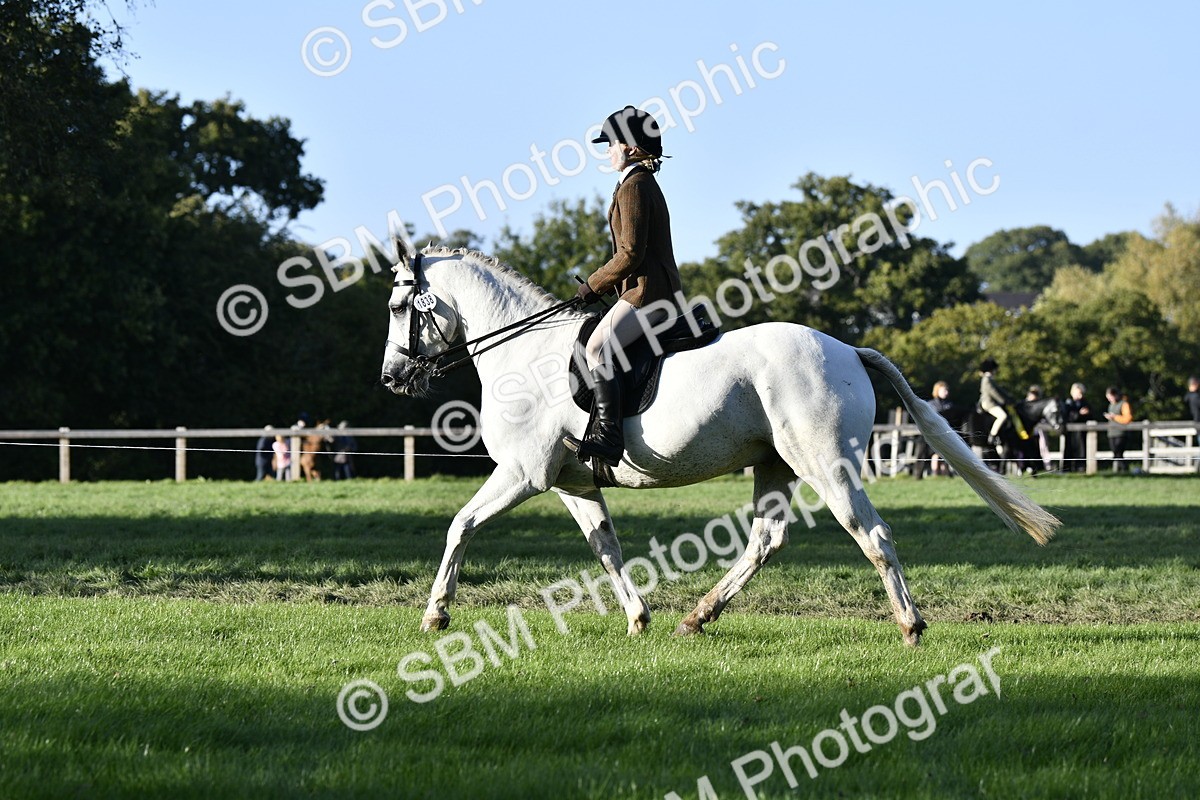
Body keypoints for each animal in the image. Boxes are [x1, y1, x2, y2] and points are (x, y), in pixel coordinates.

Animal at [380, 246, 1060, 646]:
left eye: (397, 306)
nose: (391, 377)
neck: (524, 354)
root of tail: (847, 348)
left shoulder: (523, 474)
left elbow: (460, 526)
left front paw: (436, 614)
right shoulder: (572, 482)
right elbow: (607, 548)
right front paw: (639, 618)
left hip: (826, 465)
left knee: (872, 534)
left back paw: (911, 626)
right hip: (775, 465)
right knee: (766, 540)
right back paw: (698, 615)